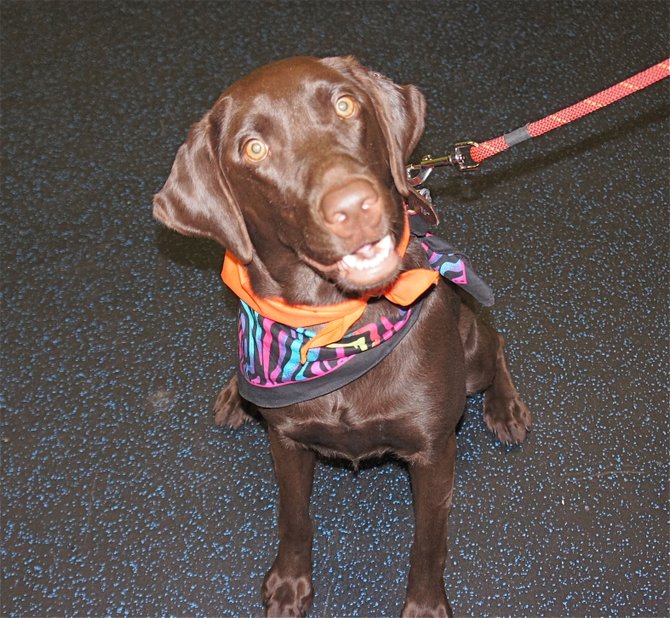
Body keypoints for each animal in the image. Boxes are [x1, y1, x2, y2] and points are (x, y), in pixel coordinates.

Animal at [155, 55, 532, 612]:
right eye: (253, 148)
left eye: (345, 104)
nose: (355, 206)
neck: (338, 329)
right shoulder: (287, 443)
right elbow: (294, 520)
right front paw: (290, 584)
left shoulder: (433, 453)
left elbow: (428, 543)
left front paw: (424, 606)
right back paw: (234, 395)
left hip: (473, 354)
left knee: (496, 342)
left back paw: (505, 409)